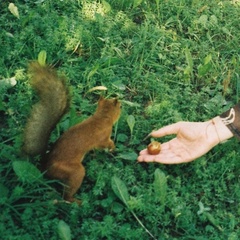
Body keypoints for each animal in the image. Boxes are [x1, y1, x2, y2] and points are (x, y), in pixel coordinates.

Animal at [22, 62, 121, 204]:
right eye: (119, 107)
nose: (121, 106)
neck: (101, 117)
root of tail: (45, 168)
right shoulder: (103, 137)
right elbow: (107, 143)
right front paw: (113, 148)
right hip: (75, 172)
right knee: (66, 196)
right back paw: (77, 202)